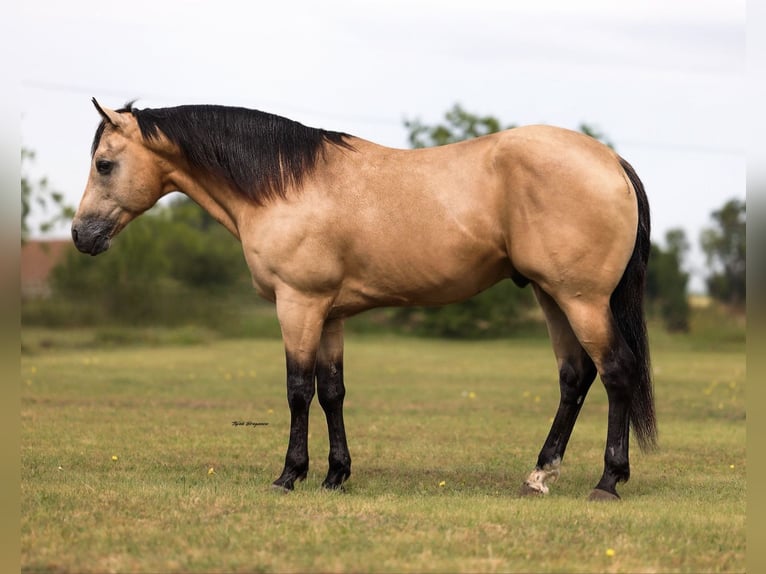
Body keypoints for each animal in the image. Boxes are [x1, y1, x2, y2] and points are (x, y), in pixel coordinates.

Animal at [72, 98, 656, 501]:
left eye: (104, 164)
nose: (81, 235)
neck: (285, 186)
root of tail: (611, 161)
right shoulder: (329, 313)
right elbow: (332, 391)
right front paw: (336, 475)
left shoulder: (298, 304)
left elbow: (298, 391)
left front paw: (289, 475)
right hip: (552, 297)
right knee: (575, 377)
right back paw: (539, 474)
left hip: (581, 300)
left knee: (617, 371)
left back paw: (608, 480)